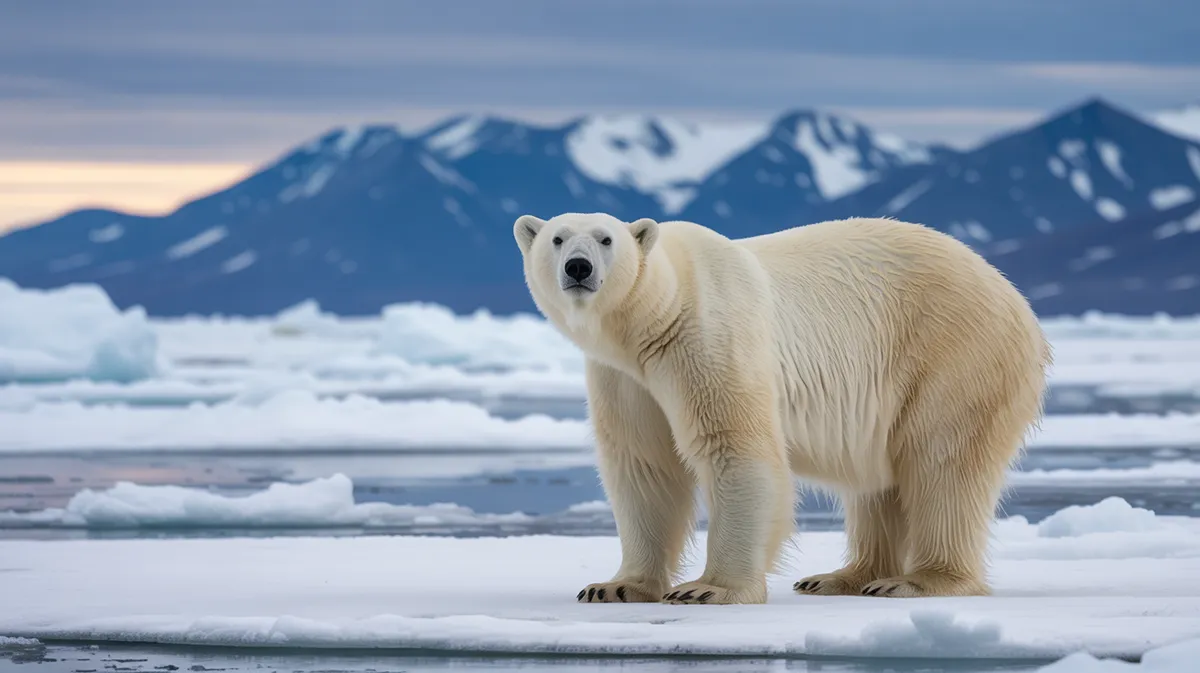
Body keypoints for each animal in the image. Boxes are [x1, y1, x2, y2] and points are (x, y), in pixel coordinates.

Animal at [512, 212, 1051, 605]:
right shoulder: (624, 377)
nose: (578, 268)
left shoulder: (707, 337)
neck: (654, 318)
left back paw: (918, 580)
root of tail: (1012, 294)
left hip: (953, 352)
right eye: (558, 238)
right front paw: (615, 586)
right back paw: (842, 576)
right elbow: (645, 465)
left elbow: (734, 449)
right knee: (880, 482)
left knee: (943, 463)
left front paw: (708, 588)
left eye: (606, 239)